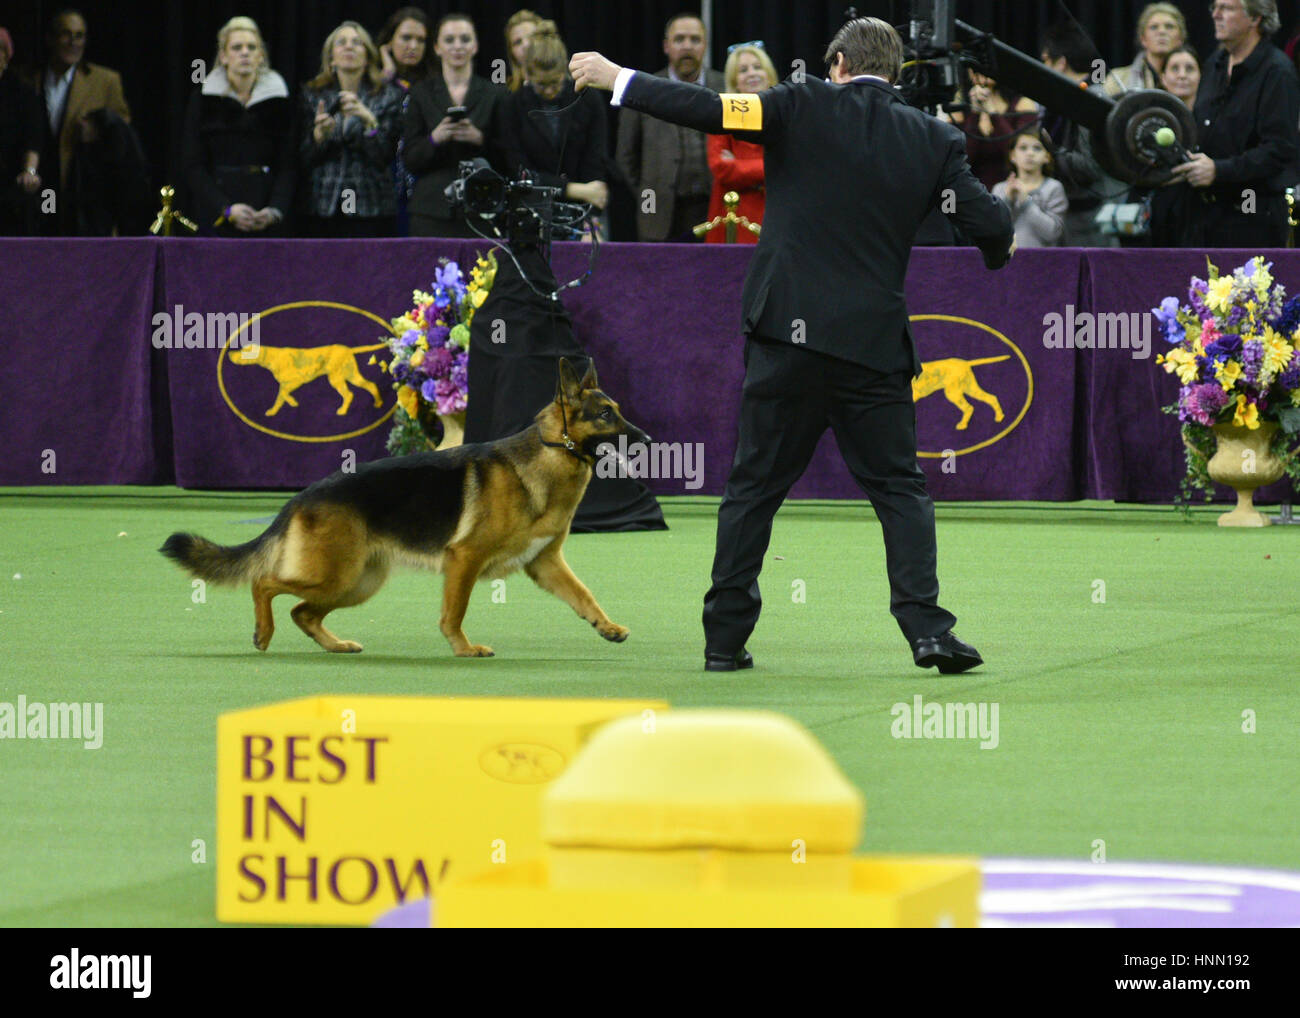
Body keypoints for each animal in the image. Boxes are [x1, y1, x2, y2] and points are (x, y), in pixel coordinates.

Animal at [162, 361, 650, 657]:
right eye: (605, 415)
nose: (646, 440)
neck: (551, 454)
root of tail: (301, 497)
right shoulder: (464, 560)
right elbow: (455, 611)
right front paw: (463, 649)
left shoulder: (546, 563)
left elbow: (584, 595)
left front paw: (607, 626)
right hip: (334, 574)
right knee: (264, 583)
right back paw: (264, 633)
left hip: (356, 583)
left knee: (302, 612)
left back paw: (335, 645)